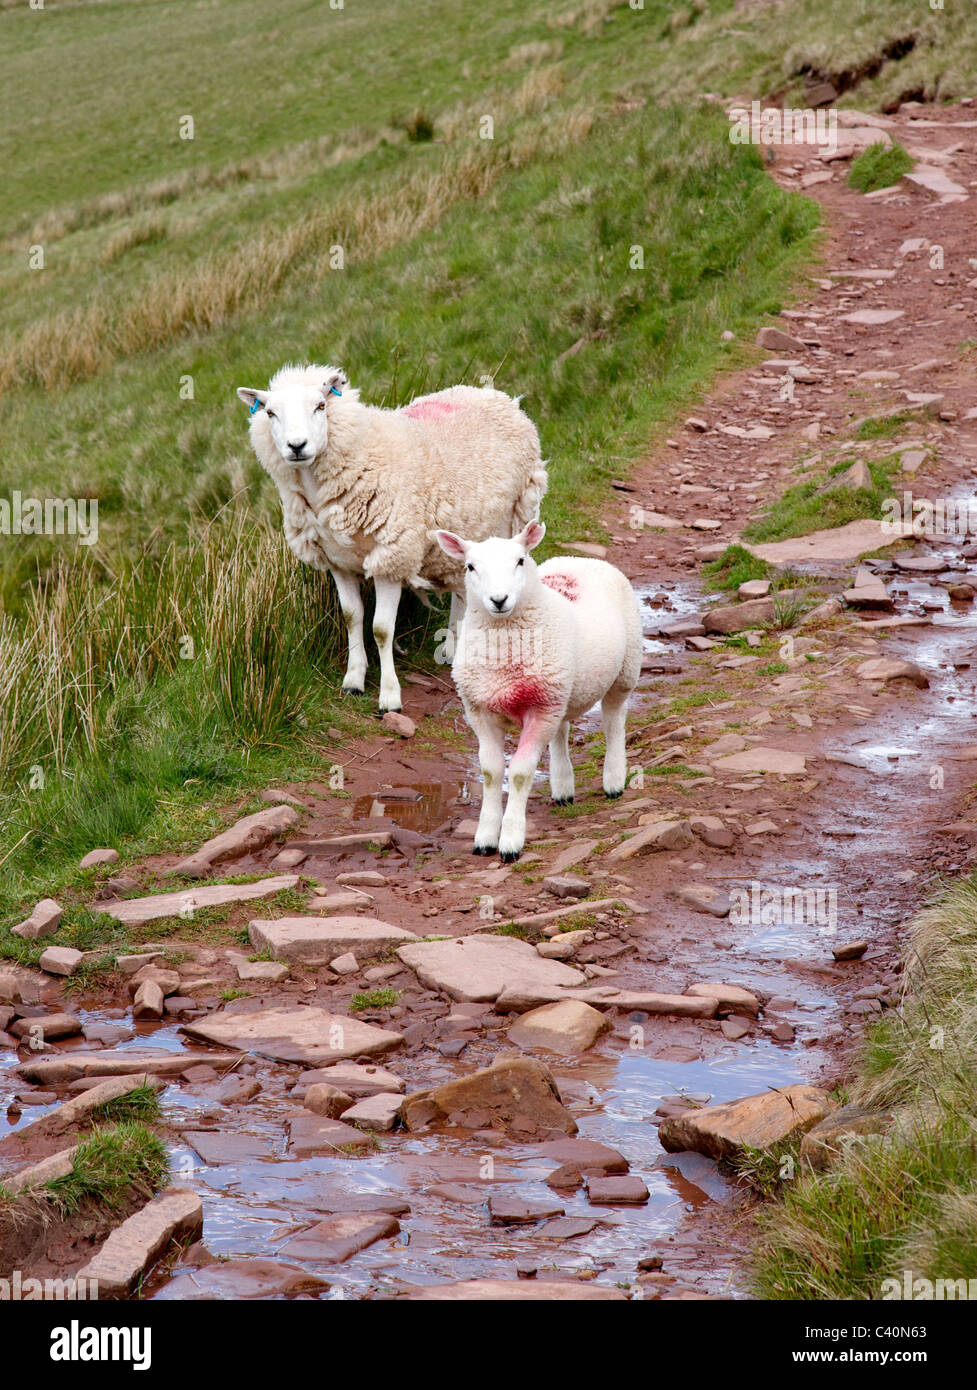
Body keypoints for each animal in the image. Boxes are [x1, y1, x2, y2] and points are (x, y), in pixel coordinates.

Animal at [236, 364, 547, 714]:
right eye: (270, 413)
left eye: (321, 405)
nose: (297, 446)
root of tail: (496, 396)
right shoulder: (337, 562)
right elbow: (352, 617)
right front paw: (353, 679)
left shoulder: (391, 559)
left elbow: (382, 630)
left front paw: (389, 696)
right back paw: (453, 646)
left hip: (515, 515)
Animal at [433, 519, 643, 862]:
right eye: (470, 566)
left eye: (520, 561)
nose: (499, 599)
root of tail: (579, 559)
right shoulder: (481, 710)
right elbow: (491, 772)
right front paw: (485, 838)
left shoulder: (539, 710)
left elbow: (519, 773)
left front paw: (510, 841)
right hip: (559, 690)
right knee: (562, 730)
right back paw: (563, 787)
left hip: (624, 669)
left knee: (614, 720)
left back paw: (613, 779)